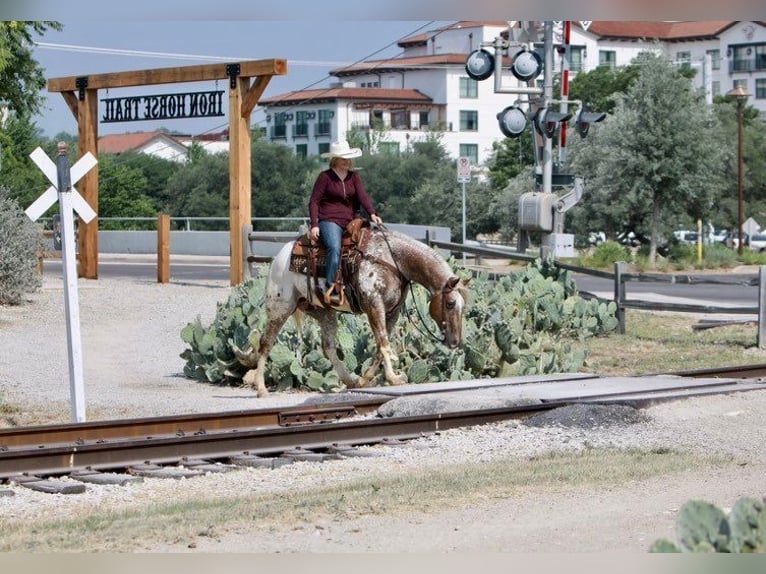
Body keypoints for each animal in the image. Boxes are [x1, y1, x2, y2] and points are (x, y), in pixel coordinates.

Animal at [243, 223, 472, 398]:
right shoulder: (374, 305)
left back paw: (350, 381)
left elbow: (381, 346)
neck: (391, 259)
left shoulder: (392, 312)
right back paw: (261, 389)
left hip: (324, 312)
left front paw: (365, 380)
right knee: (265, 343)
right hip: (280, 309)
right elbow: (383, 343)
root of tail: (280, 257)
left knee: (328, 347)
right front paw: (393, 378)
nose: (455, 342)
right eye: (450, 303)